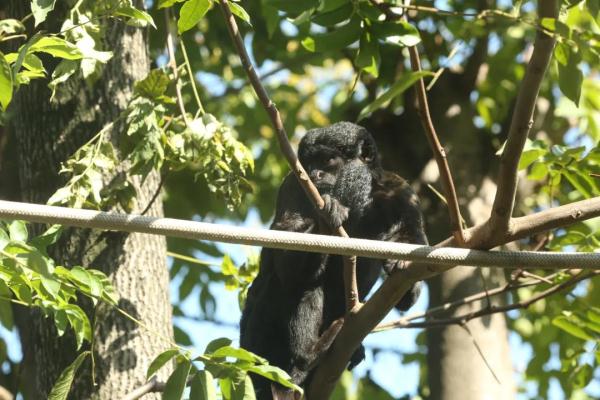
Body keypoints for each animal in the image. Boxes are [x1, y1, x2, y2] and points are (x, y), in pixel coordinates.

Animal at [239, 122, 426, 400]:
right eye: (309, 163)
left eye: (327, 160)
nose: (315, 174)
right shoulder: (293, 185)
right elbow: (284, 263)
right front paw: (325, 221)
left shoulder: (401, 192)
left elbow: (412, 251)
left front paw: (404, 272)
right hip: (258, 343)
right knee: (298, 283)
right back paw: (310, 353)